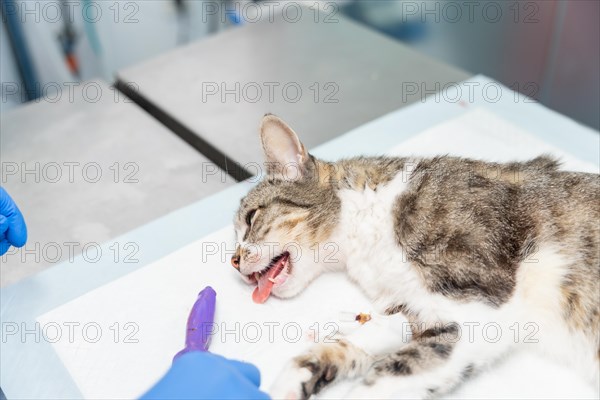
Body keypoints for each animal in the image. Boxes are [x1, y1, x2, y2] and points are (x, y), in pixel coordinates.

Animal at [231, 114, 600, 398]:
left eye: (250, 219)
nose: (233, 260)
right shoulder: (412, 311)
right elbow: (342, 345)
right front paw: (293, 381)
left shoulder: (480, 310)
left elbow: (381, 380)